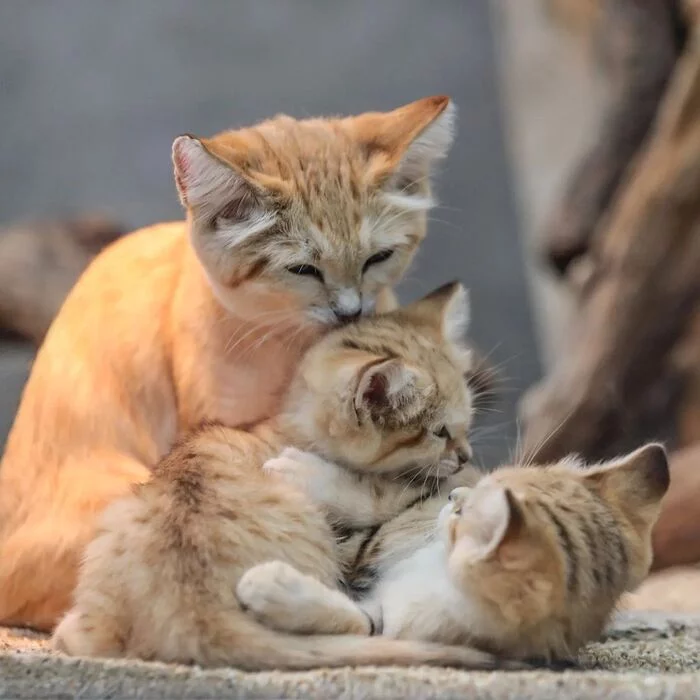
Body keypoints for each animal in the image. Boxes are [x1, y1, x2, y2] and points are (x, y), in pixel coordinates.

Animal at [50, 284, 520, 672]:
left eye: (467, 423)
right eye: (440, 432)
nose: (465, 454)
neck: (290, 425)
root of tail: (193, 611)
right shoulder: (368, 528)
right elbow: (386, 492)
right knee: (367, 623)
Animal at [239, 440, 668, 664]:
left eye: (466, 511)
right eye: (484, 484)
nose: (454, 497)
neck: (435, 568)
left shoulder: (408, 624)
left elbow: (361, 621)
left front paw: (270, 586)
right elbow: (386, 498)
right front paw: (299, 470)